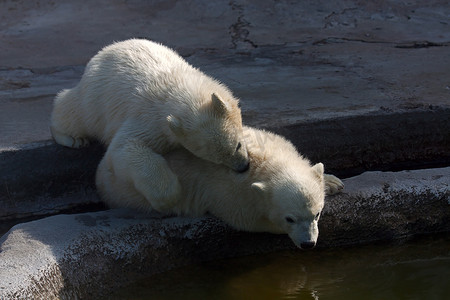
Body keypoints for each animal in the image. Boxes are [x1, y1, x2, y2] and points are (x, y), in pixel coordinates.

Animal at [51, 38, 253, 211]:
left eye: (237, 145)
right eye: (216, 160)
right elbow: (124, 147)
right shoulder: (150, 119)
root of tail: (105, 50)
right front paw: (169, 197)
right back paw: (72, 138)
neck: (178, 85)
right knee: (74, 112)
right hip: (95, 97)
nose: (243, 166)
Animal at [97, 126, 344, 248]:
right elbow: (249, 221)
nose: (308, 244)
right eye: (289, 219)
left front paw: (331, 181)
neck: (263, 163)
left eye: (317, 213)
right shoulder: (229, 195)